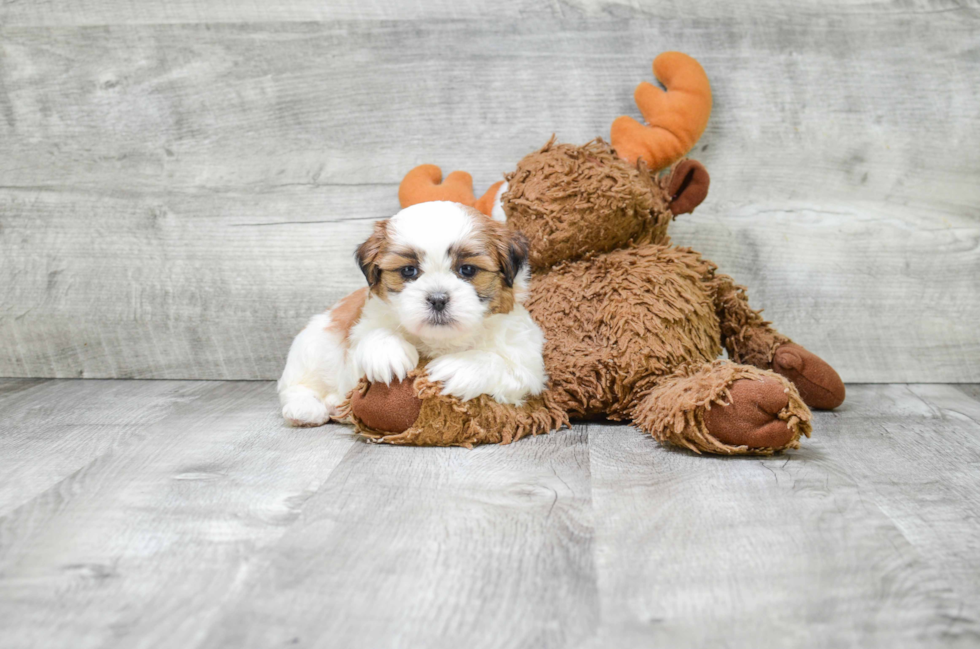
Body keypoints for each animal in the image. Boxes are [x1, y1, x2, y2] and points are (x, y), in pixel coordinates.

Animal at [280, 200, 548, 428]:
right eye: (409, 271)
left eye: (468, 270)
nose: (438, 299)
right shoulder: (357, 343)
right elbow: (370, 343)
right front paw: (387, 352)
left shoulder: (528, 365)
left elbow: (507, 365)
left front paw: (462, 366)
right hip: (311, 349)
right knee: (294, 385)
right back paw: (306, 408)